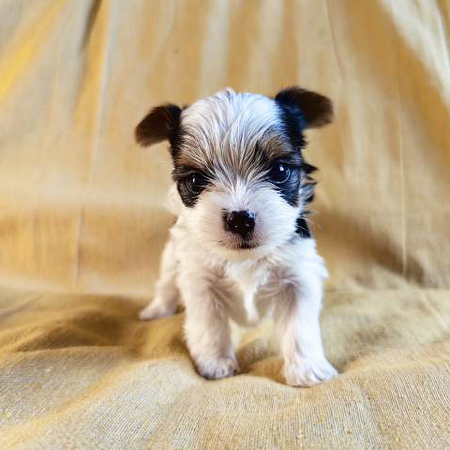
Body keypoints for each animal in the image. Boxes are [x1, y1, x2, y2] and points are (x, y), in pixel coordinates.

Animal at [136, 87, 337, 387]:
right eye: (195, 180)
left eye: (279, 171)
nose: (240, 218)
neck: (244, 258)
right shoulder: (200, 281)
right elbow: (209, 326)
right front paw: (215, 364)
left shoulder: (298, 276)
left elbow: (299, 326)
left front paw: (308, 369)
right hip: (172, 257)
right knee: (167, 284)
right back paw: (157, 310)